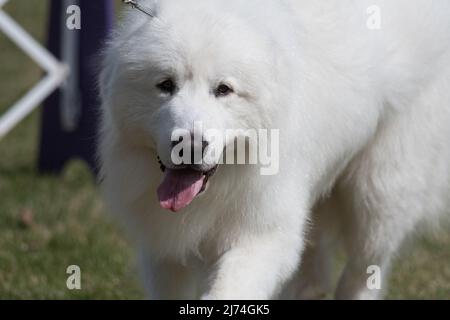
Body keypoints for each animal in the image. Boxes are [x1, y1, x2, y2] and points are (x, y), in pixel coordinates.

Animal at [98, 0, 450, 300]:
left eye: (223, 90)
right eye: (165, 85)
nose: (191, 146)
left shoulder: (261, 235)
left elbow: (228, 289)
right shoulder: (163, 250)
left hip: (377, 197)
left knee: (362, 272)